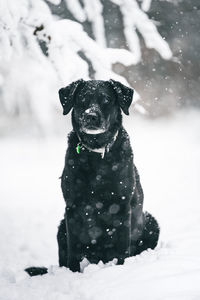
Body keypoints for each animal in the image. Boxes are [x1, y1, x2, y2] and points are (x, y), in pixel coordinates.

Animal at [25, 79, 159, 276]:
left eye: (106, 99)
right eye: (82, 99)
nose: (91, 116)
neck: (97, 154)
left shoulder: (121, 205)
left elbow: (122, 247)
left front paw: (121, 270)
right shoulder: (72, 207)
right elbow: (73, 249)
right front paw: (72, 274)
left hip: (150, 222)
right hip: (61, 227)